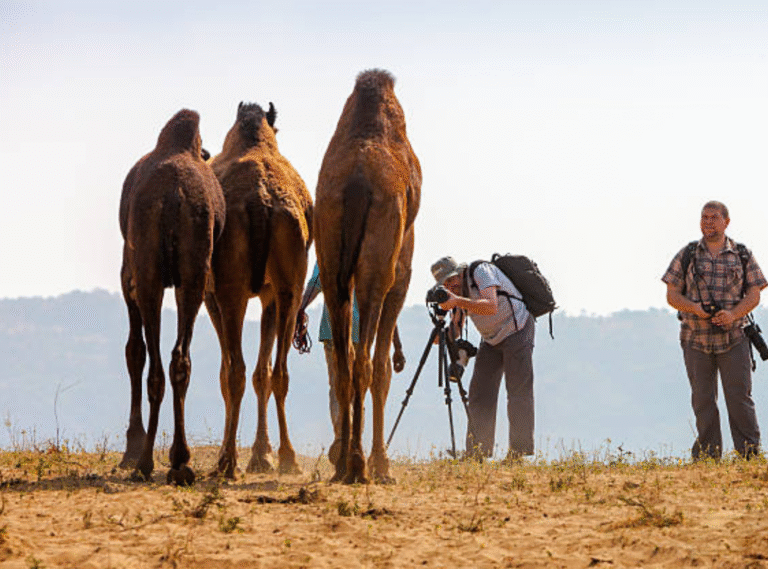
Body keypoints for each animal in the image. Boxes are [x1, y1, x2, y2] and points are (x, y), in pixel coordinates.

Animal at [118, 109, 225, 485]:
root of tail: (175, 195)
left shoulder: (128, 275)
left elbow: (133, 351)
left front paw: (131, 447)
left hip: (148, 271)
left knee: (154, 362)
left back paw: (145, 461)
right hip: (193, 271)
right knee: (179, 359)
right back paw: (179, 462)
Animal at [205, 102, 312, 478]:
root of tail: (261, 203)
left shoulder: (211, 295)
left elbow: (227, 373)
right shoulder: (268, 294)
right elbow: (262, 373)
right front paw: (262, 455)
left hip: (231, 289)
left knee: (234, 371)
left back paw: (226, 461)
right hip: (290, 284)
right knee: (278, 371)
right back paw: (288, 458)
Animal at [315, 69, 421, 483]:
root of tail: (358, 184)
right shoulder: (401, 274)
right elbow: (382, 370)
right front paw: (382, 464)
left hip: (330, 254)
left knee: (344, 363)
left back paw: (345, 462)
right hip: (379, 264)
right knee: (365, 364)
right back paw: (360, 464)